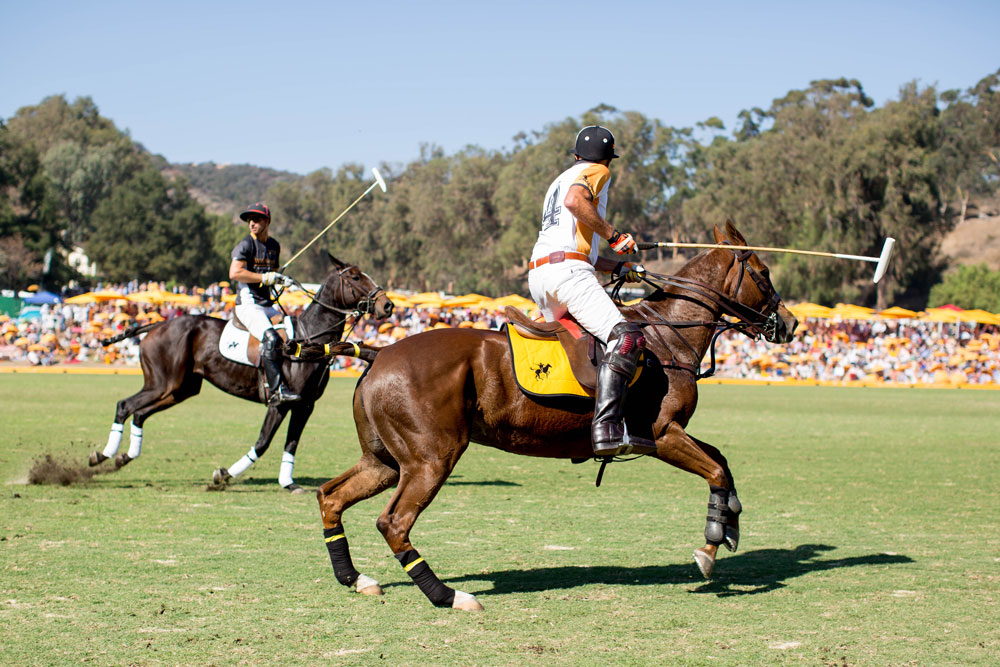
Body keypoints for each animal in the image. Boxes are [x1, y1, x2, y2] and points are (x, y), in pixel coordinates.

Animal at [90, 254, 392, 490]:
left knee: (139, 412)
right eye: (355, 277)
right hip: (162, 383)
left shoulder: (305, 405)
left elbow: (291, 444)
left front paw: (288, 483)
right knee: (125, 405)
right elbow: (263, 442)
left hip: (180, 389)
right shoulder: (280, 402)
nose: (387, 305)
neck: (310, 339)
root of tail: (155, 325)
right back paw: (102, 455)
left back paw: (123, 456)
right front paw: (223, 474)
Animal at [312, 224, 796, 612]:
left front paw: (730, 522)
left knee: (331, 496)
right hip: (431, 458)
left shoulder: (674, 433)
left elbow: (722, 463)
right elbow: (715, 468)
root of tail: (379, 353)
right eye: (764, 273)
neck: (666, 336)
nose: (789, 325)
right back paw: (449, 596)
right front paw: (710, 547)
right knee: (394, 522)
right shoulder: (661, 435)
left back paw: (357, 579)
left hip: (386, 461)